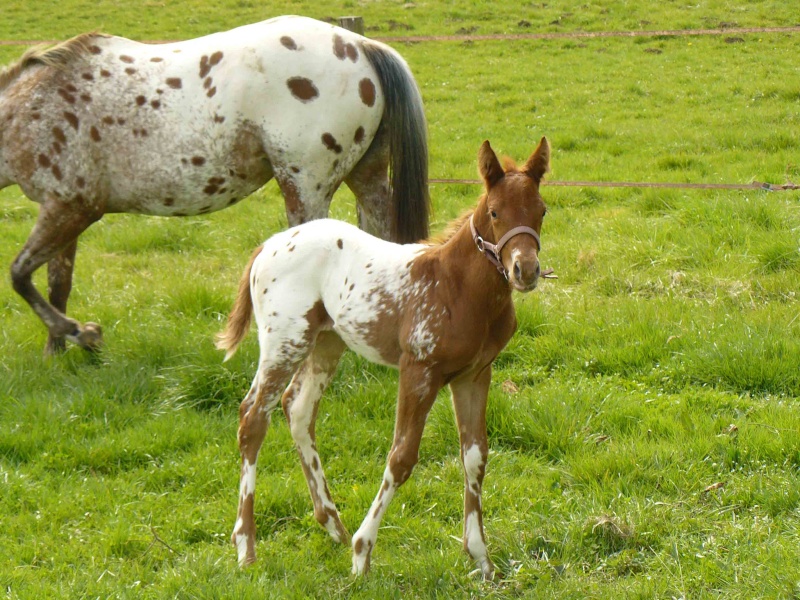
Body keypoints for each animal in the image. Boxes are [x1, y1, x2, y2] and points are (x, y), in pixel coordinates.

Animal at [0, 15, 432, 352]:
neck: (32, 105)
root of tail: (360, 45)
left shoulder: (71, 209)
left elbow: (20, 274)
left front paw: (81, 335)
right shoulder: (63, 210)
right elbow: (58, 283)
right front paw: (58, 351)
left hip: (305, 188)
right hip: (367, 177)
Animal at [214, 138, 552, 580]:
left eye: (541, 210)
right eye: (495, 211)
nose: (525, 270)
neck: (457, 285)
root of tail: (268, 245)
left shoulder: (475, 374)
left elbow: (476, 456)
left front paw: (481, 558)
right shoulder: (418, 371)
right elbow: (401, 457)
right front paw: (363, 554)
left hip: (327, 342)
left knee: (298, 409)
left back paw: (332, 524)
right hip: (284, 341)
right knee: (253, 417)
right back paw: (247, 548)